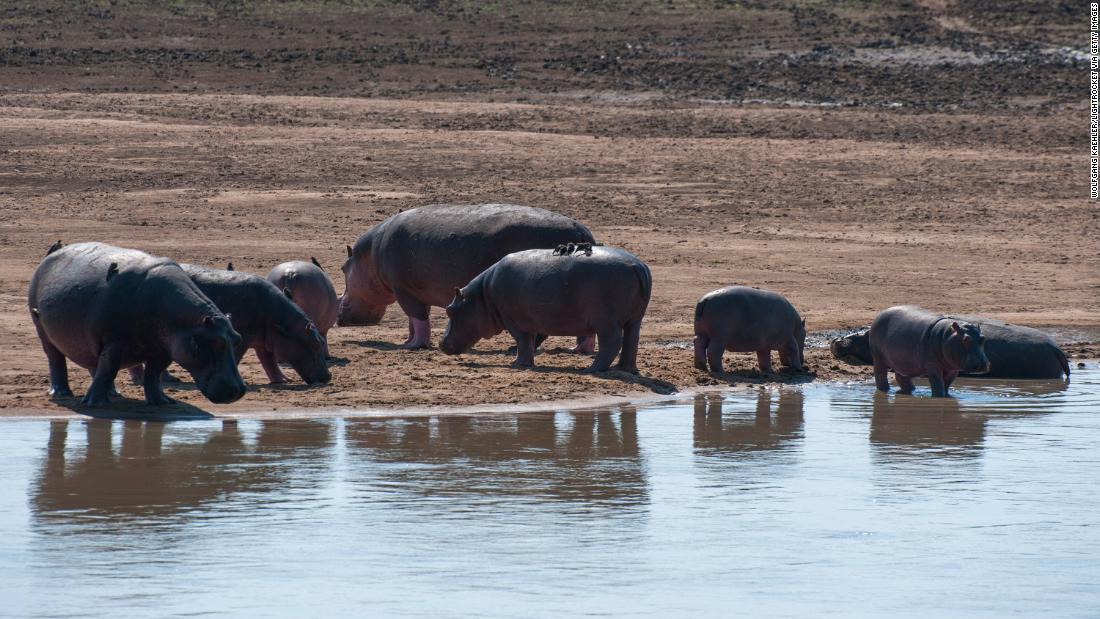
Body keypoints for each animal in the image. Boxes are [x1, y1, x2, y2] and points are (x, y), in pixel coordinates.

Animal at [27, 240, 247, 406]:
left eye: (237, 338)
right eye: (216, 343)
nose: (239, 391)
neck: (187, 323)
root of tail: (50, 256)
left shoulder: (163, 350)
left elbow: (153, 374)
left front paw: (162, 402)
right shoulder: (115, 341)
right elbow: (109, 367)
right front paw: (96, 404)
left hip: (90, 339)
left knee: (93, 363)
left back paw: (113, 393)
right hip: (42, 329)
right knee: (56, 360)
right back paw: (63, 393)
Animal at [336, 202, 598, 351]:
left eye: (342, 268)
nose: (338, 310)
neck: (367, 257)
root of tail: (583, 231)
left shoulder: (403, 290)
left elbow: (417, 317)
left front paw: (412, 345)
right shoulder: (414, 291)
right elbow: (416, 318)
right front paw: (409, 341)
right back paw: (578, 351)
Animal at [437, 245, 646, 373]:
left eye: (450, 310)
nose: (441, 343)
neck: (481, 296)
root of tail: (637, 265)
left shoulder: (513, 320)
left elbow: (523, 340)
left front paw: (517, 364)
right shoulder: (535, 320)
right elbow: (532, 340)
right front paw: (523, 361)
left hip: (606, 321)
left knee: (612, 342)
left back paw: (592, 369)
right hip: (635, 319)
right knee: (631, 341)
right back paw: (624, 369)